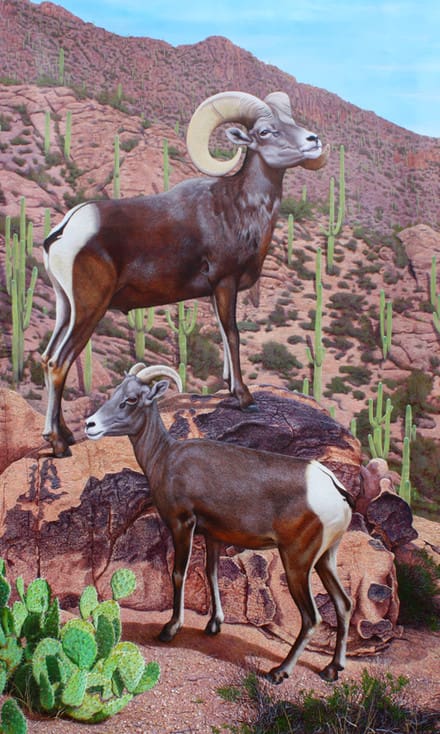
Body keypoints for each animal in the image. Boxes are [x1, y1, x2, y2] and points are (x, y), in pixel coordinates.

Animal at [87, 364, 354, 684]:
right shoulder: (213, 536)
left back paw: (279, 672)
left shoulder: (182, 525)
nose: (90, 425)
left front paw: (170, 629)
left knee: (312, 617)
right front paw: (214, 625)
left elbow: (179, 573)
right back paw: (332, 669)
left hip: (297, 562)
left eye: (131, 400)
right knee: (344, 604)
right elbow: (211, 574)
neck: (165, 457)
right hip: (325, 559)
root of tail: (335, 489)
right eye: (115, 392)